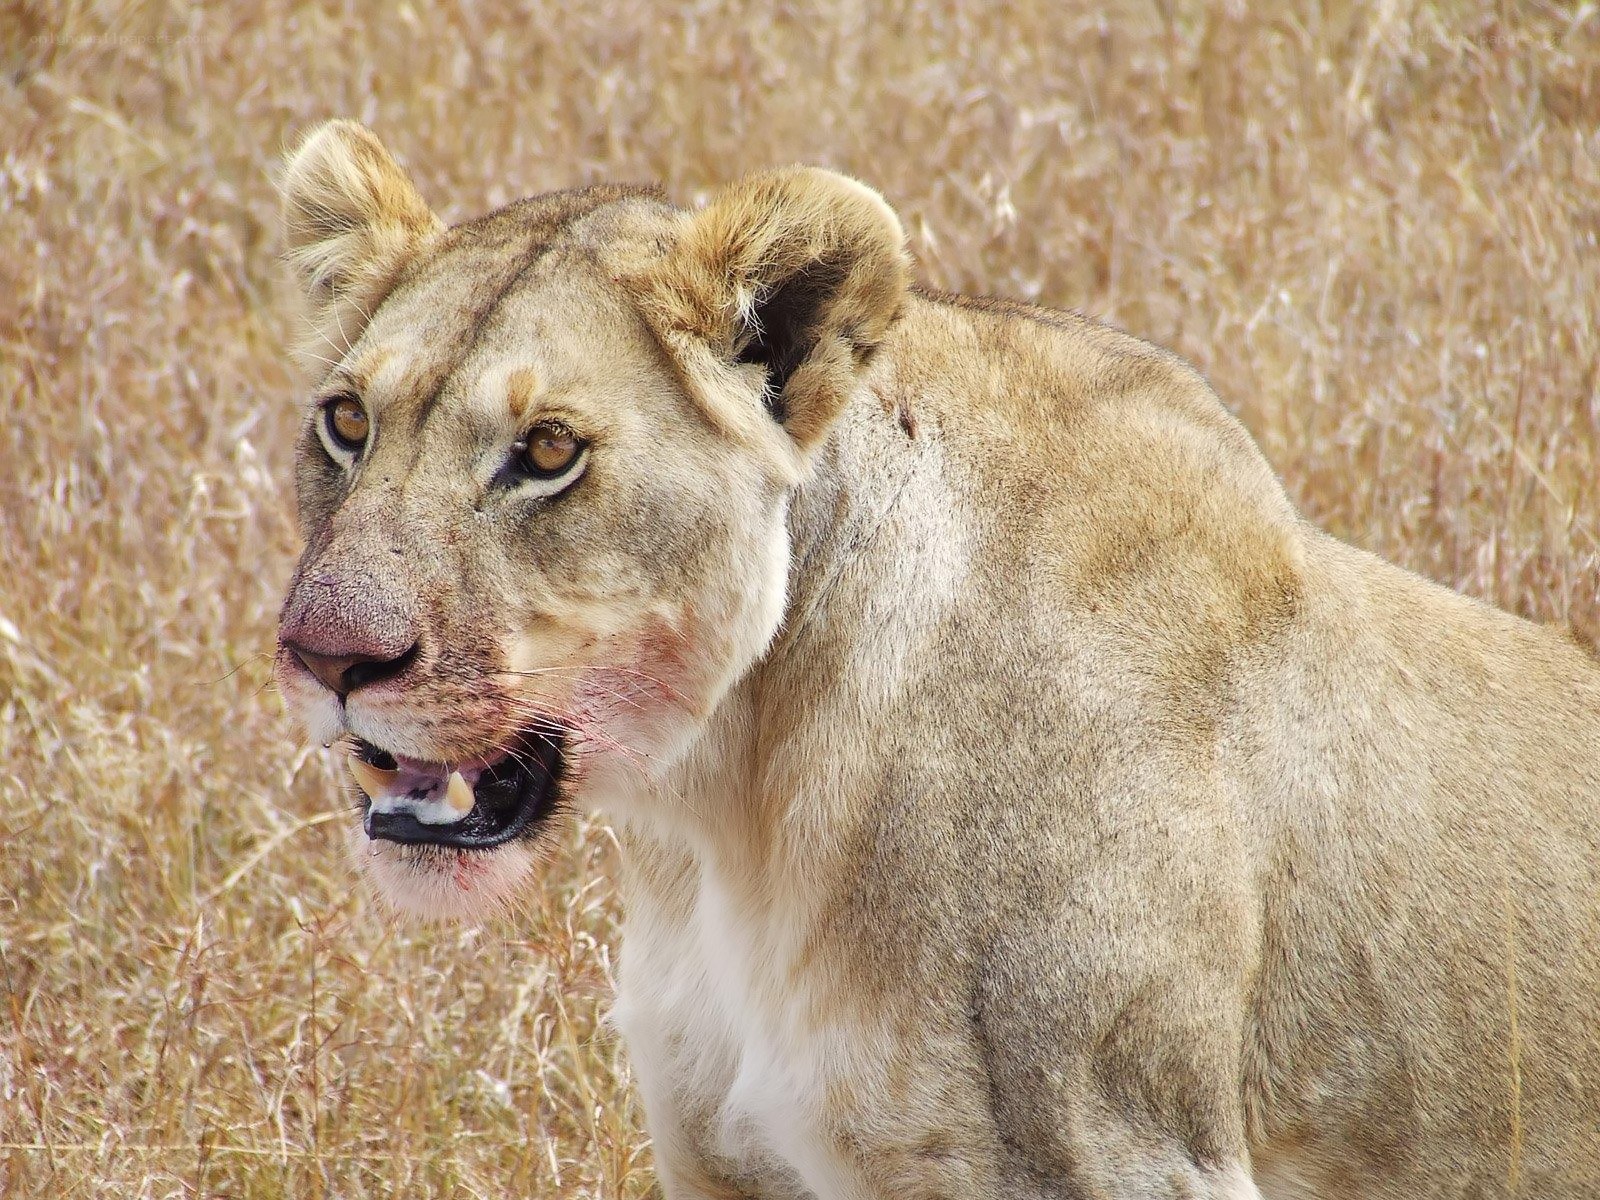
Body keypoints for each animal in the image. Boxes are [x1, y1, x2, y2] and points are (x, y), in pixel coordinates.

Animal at [271, 120, 1600, 1198]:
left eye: (548, 450)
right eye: (347, 422)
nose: (323, 658)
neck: (734, 804)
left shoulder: (1122, 1150)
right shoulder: (725, 1157)